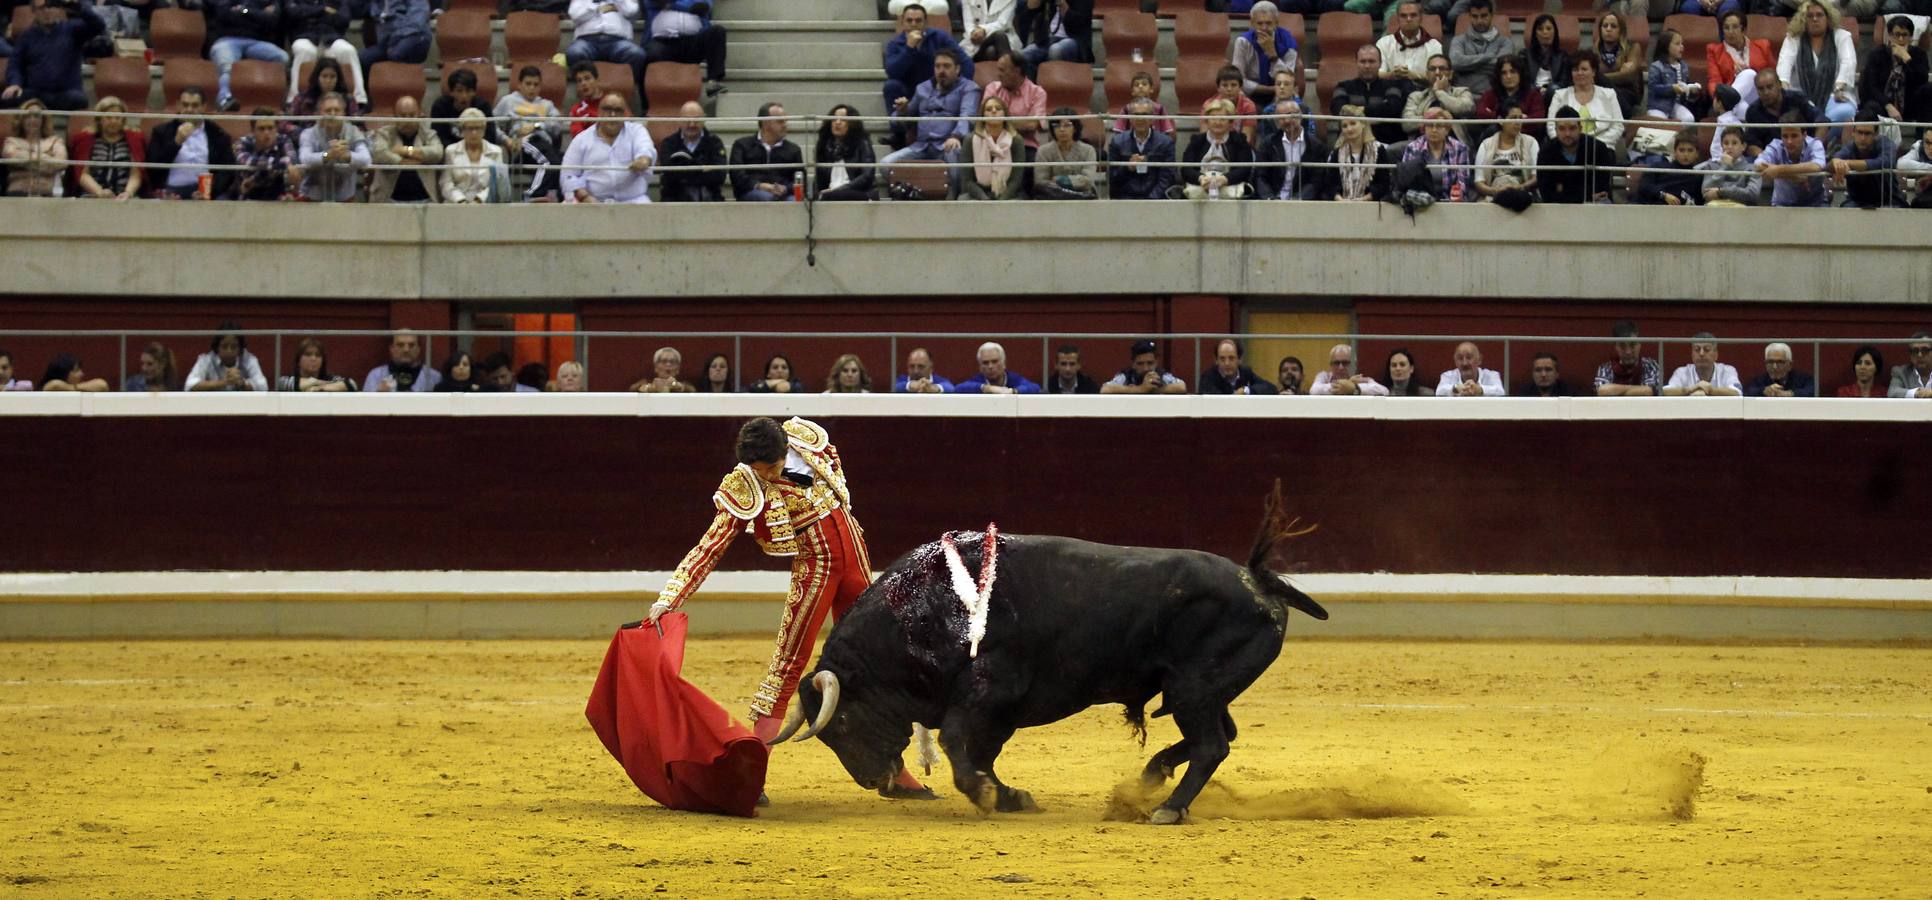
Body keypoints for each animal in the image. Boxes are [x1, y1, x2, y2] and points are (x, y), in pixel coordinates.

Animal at [768, 494, 1329, 826]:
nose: (872, 781)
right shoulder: (996, 711)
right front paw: (1011, 796)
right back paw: (1153, 775)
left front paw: (987, 796)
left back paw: (1167, 809)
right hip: (1203, 690)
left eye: (840, 725)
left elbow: (957, 743)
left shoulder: (989, 690)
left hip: (1195, 688)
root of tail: (1257, 580)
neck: (927, 607)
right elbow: (981, 752)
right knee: (1218, 735)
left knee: (1213, 744)